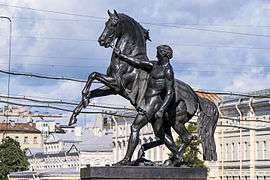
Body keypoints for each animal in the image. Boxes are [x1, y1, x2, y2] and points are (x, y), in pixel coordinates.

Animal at [69, 10, 217, 166]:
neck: (129, 60)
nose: (101, 41)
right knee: (164, 138)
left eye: (114, 23)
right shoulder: (113, 88)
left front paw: (84, 99)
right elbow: (92, 88)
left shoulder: (116, 83)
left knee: (186, 138)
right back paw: (164, 159)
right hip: (162, 121)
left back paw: (172, 160)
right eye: (105, 23)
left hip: (176, 121)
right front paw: (76, 113)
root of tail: (196, 96)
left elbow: (93, 74)